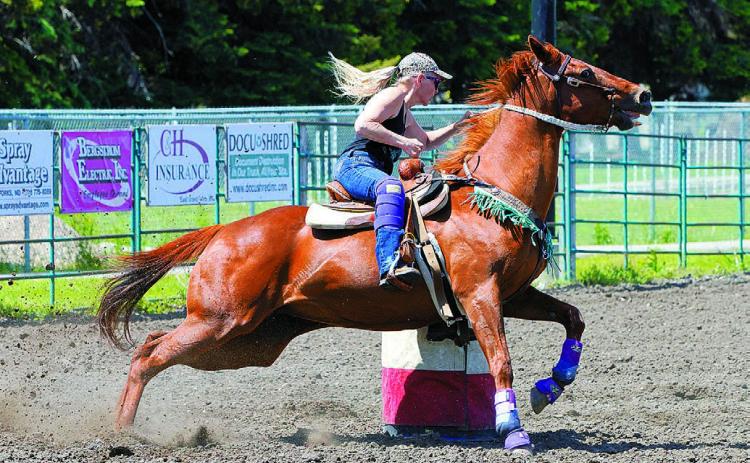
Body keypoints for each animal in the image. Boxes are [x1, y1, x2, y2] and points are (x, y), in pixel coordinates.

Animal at [97, 36, 651, 452]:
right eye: (583, 70)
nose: (643, 93)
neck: (493, 193)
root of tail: (224, 232)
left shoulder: (513, 294)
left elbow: (573, 318)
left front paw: (549, 387)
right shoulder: (479, 295)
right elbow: (500, 359)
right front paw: (513, 431)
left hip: (245, 338)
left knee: (151, 345)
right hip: (220, 321)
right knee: (147, 356)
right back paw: (120, 433)